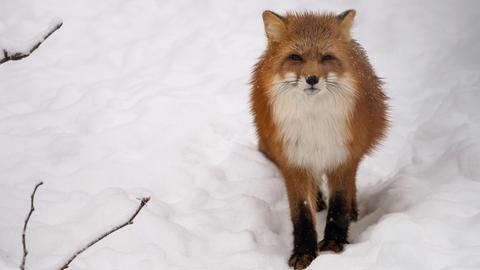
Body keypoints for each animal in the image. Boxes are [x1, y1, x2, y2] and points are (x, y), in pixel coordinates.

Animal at [249, 9, 388, 268]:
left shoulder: (342, 157)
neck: (314, 123)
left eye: (326, 57)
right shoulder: (294, 162)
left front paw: (334, 245)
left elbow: (338, 207)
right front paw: (304, 253)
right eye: (296, 57)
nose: (312, 79)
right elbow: (302, 214)